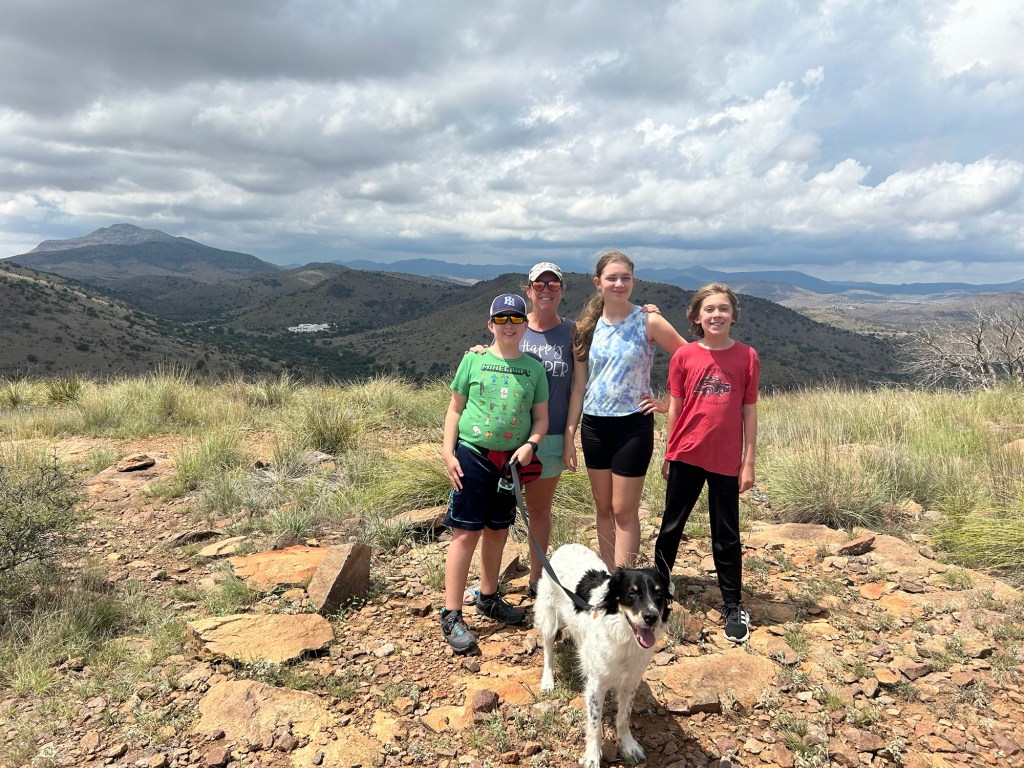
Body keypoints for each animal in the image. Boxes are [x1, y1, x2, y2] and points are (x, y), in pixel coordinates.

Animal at [534, 543, 671, 768]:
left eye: (658, 594)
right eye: (631, 593)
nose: (651, 617)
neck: (623, 638)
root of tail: (567, 545)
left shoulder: (630, 682)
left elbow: (624, 717)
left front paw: (628, 746)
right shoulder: (595, 685)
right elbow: (594, 724)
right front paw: (592, 756)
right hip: (549, 617)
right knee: (547, 648)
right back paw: (548, 680)